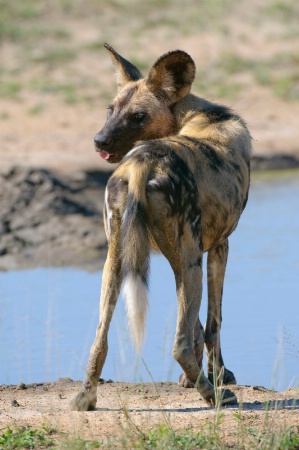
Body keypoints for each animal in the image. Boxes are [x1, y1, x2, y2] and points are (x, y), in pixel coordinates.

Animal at [71, 44, 252, 412]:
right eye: (111, 110)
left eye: (137, 116)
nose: (99, 140)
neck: (195, 116)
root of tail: (143, 161)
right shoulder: (218, 247)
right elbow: (212, 324)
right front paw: (219, 376)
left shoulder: (177, 257)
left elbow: (198, 324)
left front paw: (190, 380)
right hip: (191, 262)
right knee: (179, 343)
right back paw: (214, 396)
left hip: (116, 261)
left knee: (100, 339)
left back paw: (86, 397)